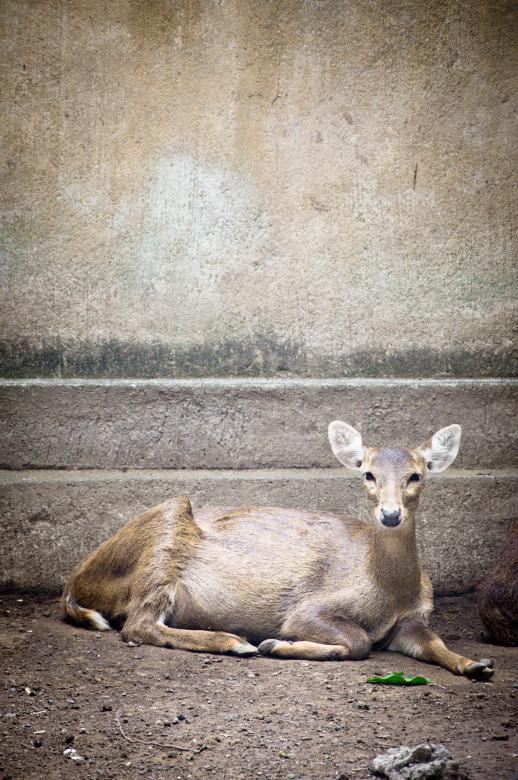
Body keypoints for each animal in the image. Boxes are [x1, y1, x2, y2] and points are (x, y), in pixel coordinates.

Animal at [61, 422, 494, 678]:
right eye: (368, 474)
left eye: (416, 475)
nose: (390, 514)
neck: (391, 592)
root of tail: (75, 582)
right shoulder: (309, 607)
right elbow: (359, 642)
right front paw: (280, 645)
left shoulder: (413, 620)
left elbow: (435, 644)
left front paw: (476, 664)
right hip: (164, 537)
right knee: (137, 624)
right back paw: (236, 642)